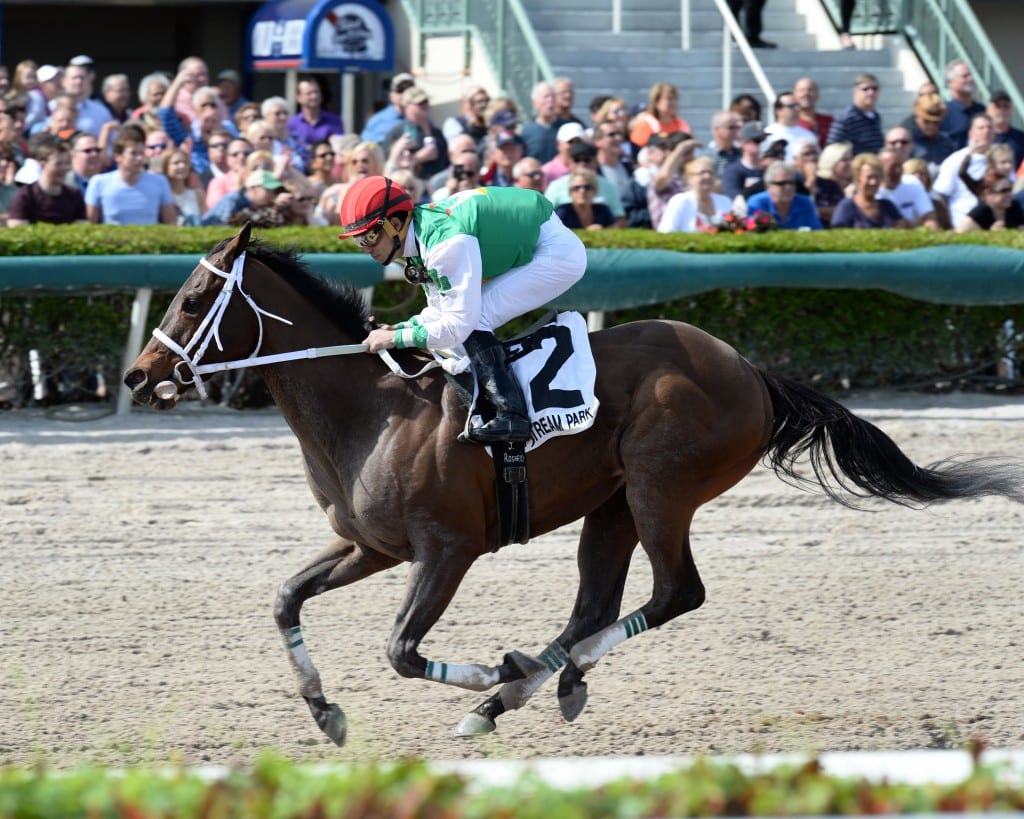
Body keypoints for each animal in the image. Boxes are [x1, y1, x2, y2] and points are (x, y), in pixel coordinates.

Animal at [123, 222, 1019, 741]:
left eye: (195, 297)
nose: (137, 376)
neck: (375, 408)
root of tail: (751, 370)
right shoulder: (369, 545)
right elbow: (286, 598)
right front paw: (325, 710)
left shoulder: (446, 549)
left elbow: (400, 649)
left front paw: (490, 671)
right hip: (611, 504)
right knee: (596, 604)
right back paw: (528, 687)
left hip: (661, 490)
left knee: (676, 593)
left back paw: (513, 686)